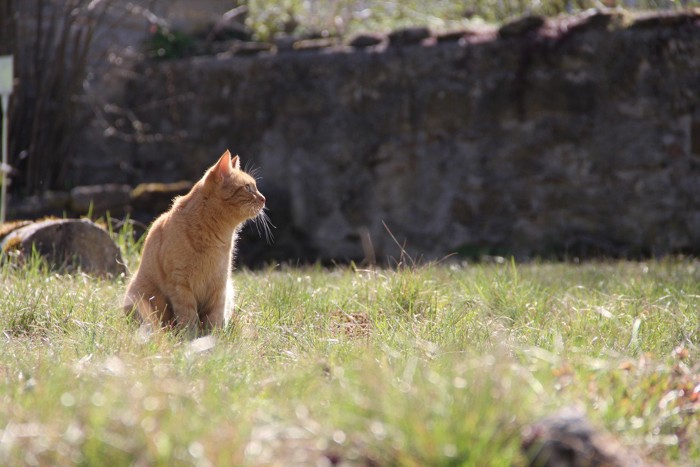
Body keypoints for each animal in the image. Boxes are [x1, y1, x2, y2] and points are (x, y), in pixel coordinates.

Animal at [124, 150, 270, 332]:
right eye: (248, 187)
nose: (264, 199)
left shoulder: (220, 285)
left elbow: (215, 318)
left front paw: (214, 336)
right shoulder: (180, 285)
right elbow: (189, 317)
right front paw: (191, 336)